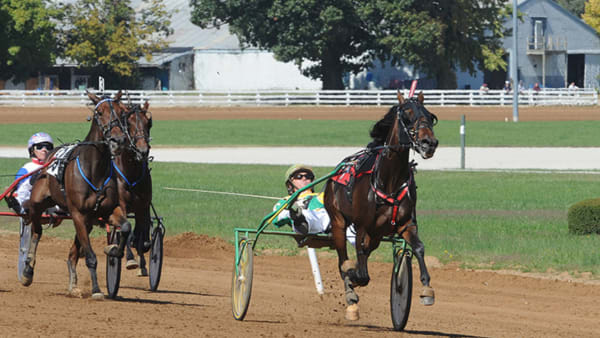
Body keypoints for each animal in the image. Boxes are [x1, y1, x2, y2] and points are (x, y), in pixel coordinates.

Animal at [326, 92, 438, 322]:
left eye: (430, 116)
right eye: (407, 115)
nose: (429, 143)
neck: (390, 181)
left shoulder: (406, 225)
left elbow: (419, 248)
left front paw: (426, 289)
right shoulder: (361, 226)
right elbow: (360, 272)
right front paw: (353, 279)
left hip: (376, 235)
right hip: (339, 222)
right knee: (342, 259)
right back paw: (350, 292)